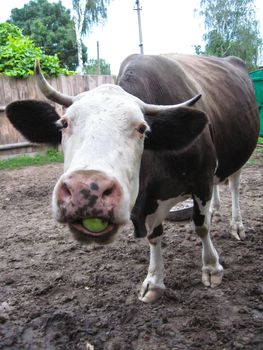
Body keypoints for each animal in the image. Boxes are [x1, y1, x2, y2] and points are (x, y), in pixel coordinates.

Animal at [5, 53, 260, 302]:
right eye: (64, 123)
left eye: (142, 128)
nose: (86, 190)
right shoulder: (152, 200)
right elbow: (154, 236)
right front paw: (154, 281)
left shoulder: (201, 180)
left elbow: (201, 227)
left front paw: (211, 267)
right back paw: (215, 210)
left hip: (238, 155)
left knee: (234, 185)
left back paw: (236, 225)